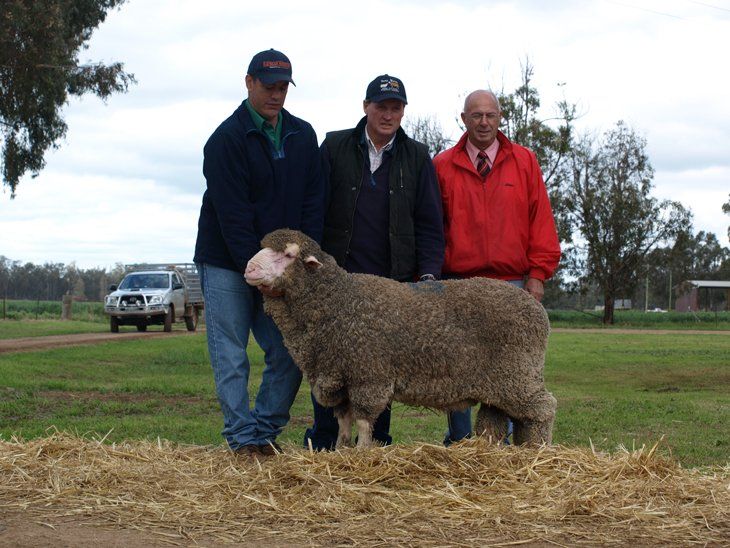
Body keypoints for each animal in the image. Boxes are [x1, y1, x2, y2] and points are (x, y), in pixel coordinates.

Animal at [244, 228, 557, 448]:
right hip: (500, 382)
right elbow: (344, 422)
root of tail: (537, 308)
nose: (249, 269)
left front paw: (363, 452)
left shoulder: (369, 375)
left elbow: (363, 421)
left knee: (543, 409)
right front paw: (341, 451)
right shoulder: (338, 377)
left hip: (518, 374)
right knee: (497, 417)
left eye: (288, 255)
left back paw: (537, 450)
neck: (338, 301)